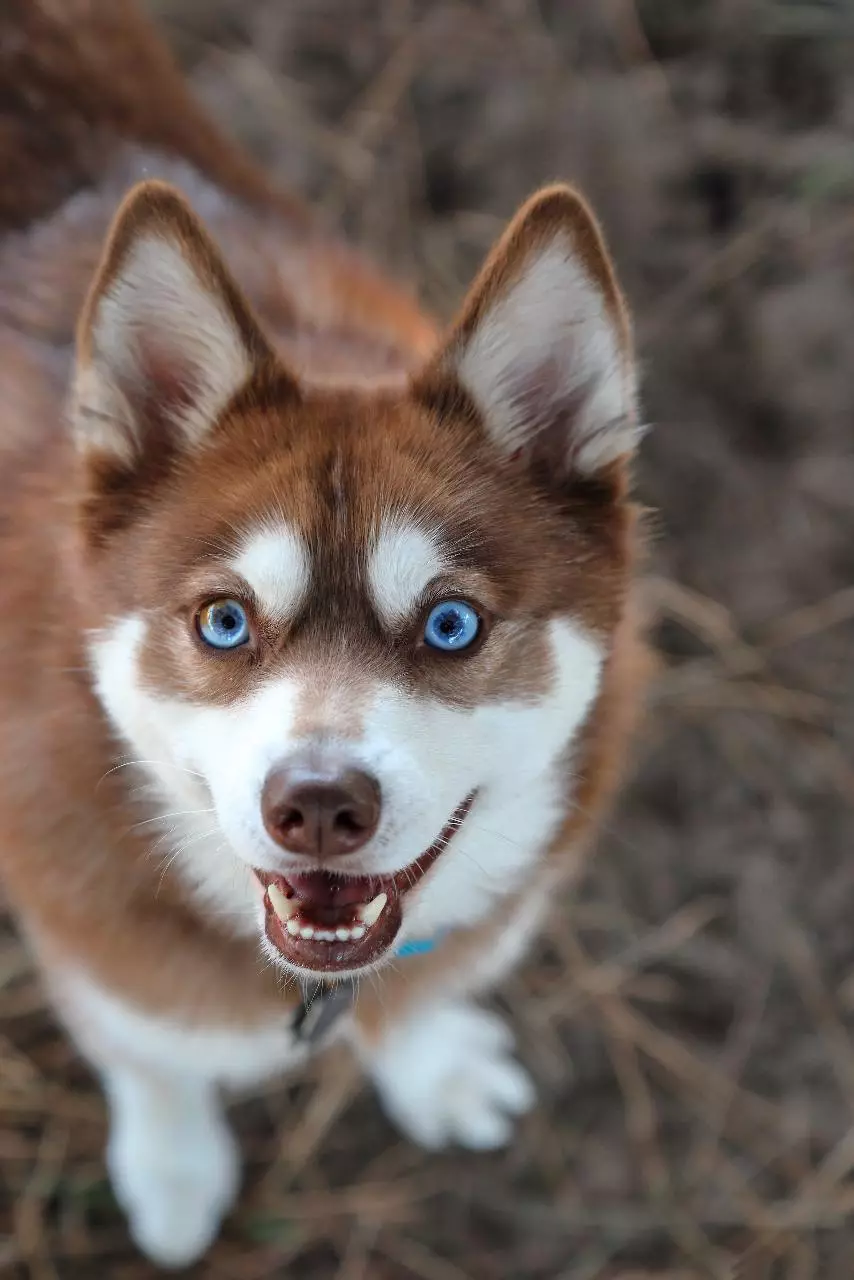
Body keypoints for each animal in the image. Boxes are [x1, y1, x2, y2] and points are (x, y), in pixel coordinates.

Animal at [0, 0, 647, 1264]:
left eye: (449, 622)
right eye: (223, 619)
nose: (316, 803)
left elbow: (425, 985)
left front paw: (430, 1064)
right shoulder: (93, 933)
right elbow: (147, 1050)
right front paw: (172, 1160)